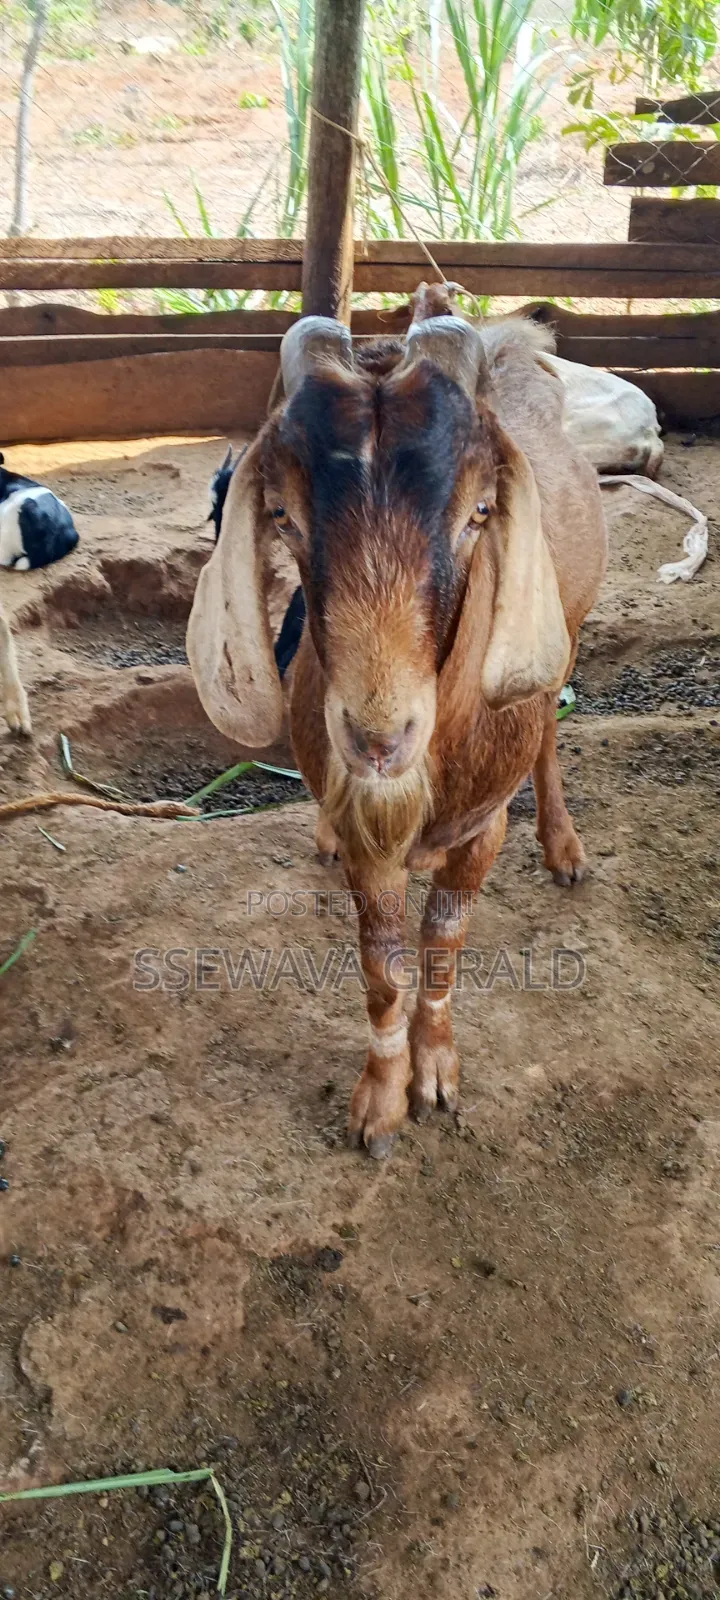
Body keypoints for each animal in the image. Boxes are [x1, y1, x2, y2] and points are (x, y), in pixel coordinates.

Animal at [188, 282, 607, 1158]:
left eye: (480, 510)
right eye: (282, 514)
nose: (379, 740)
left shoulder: (481, 824)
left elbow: (442, 940)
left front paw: (435, 1075)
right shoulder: (367, 841)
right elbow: (382, 962)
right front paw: (380, 1103)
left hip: (565, 637)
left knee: (550, 730)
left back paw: (564, 846)